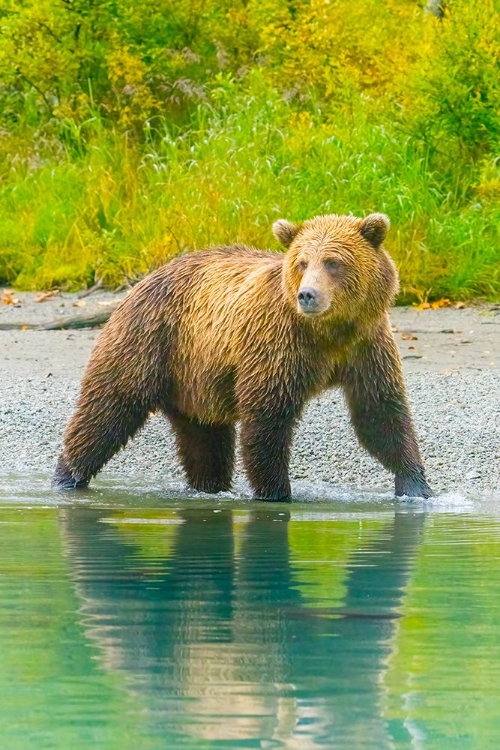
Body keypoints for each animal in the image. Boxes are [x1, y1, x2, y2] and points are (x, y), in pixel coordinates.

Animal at [52, 214, 432, 502]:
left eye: (333, 262)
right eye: (302, 262)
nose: (307, 295)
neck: (328, 332)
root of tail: (143, 281)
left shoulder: (366, 346)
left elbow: (380, 413)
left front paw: (416, 486)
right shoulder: (278, 346)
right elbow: (267, 420)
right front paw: (276, 492)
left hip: (195, 377)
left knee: (204, 439)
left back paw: (208, 486)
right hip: (149, 341)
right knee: (108, 409)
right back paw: (67, 476)